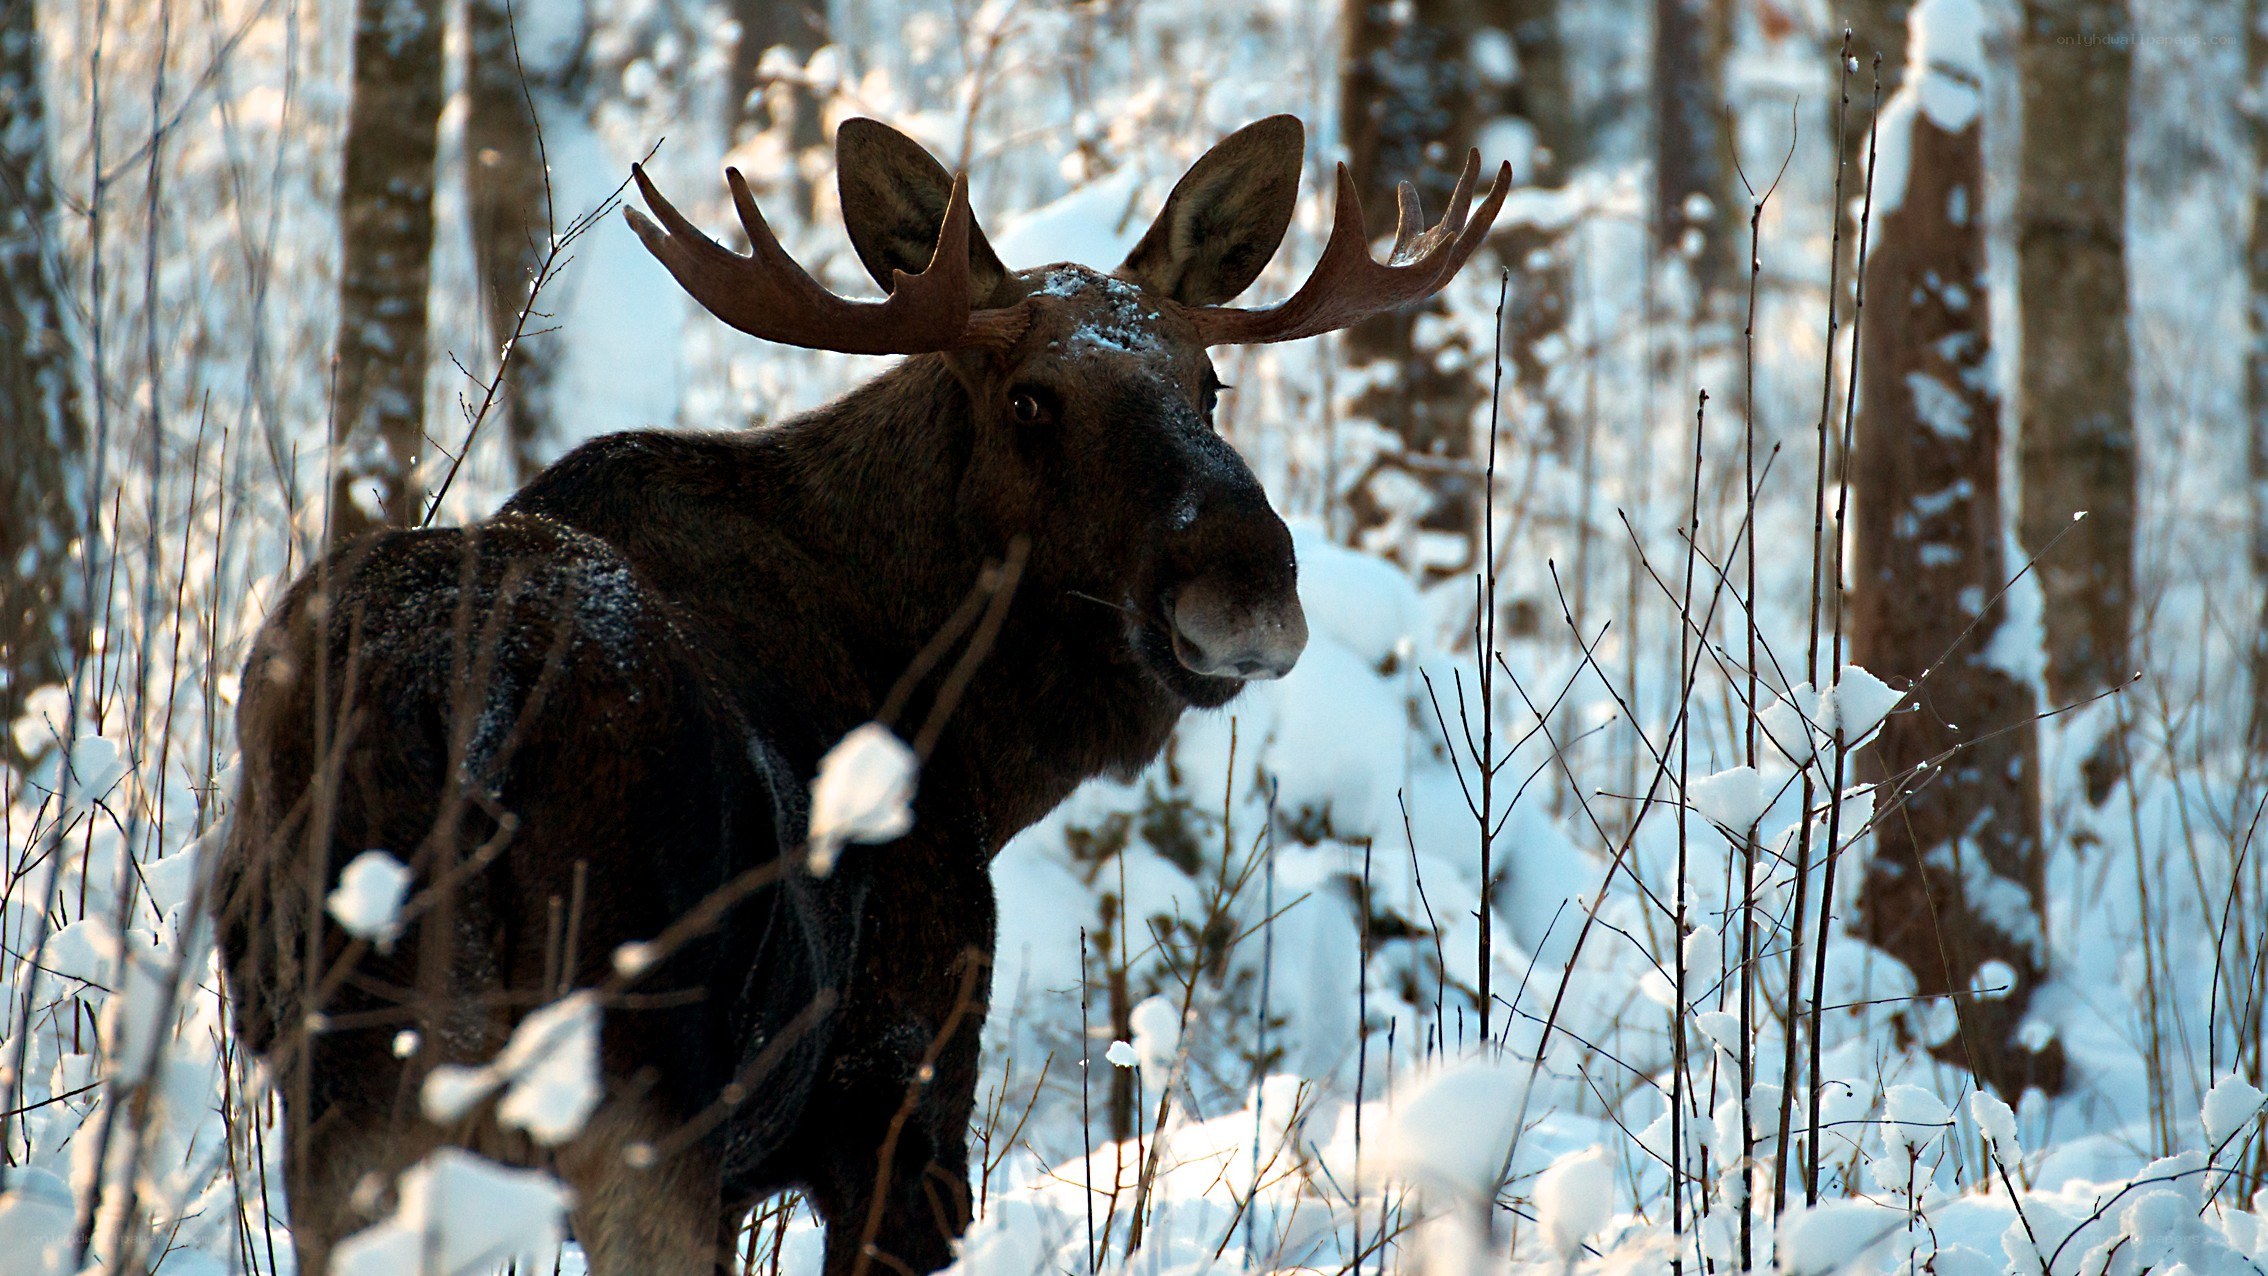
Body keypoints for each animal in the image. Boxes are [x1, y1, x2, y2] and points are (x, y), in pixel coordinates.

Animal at [213, 114, 1506, 1276]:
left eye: (1211, 380)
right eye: (1030, 398)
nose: (1248, 584)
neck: (977, 749)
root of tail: (447, 712)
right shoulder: (900, 1089)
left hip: (348, 1089)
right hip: (628, 1090)